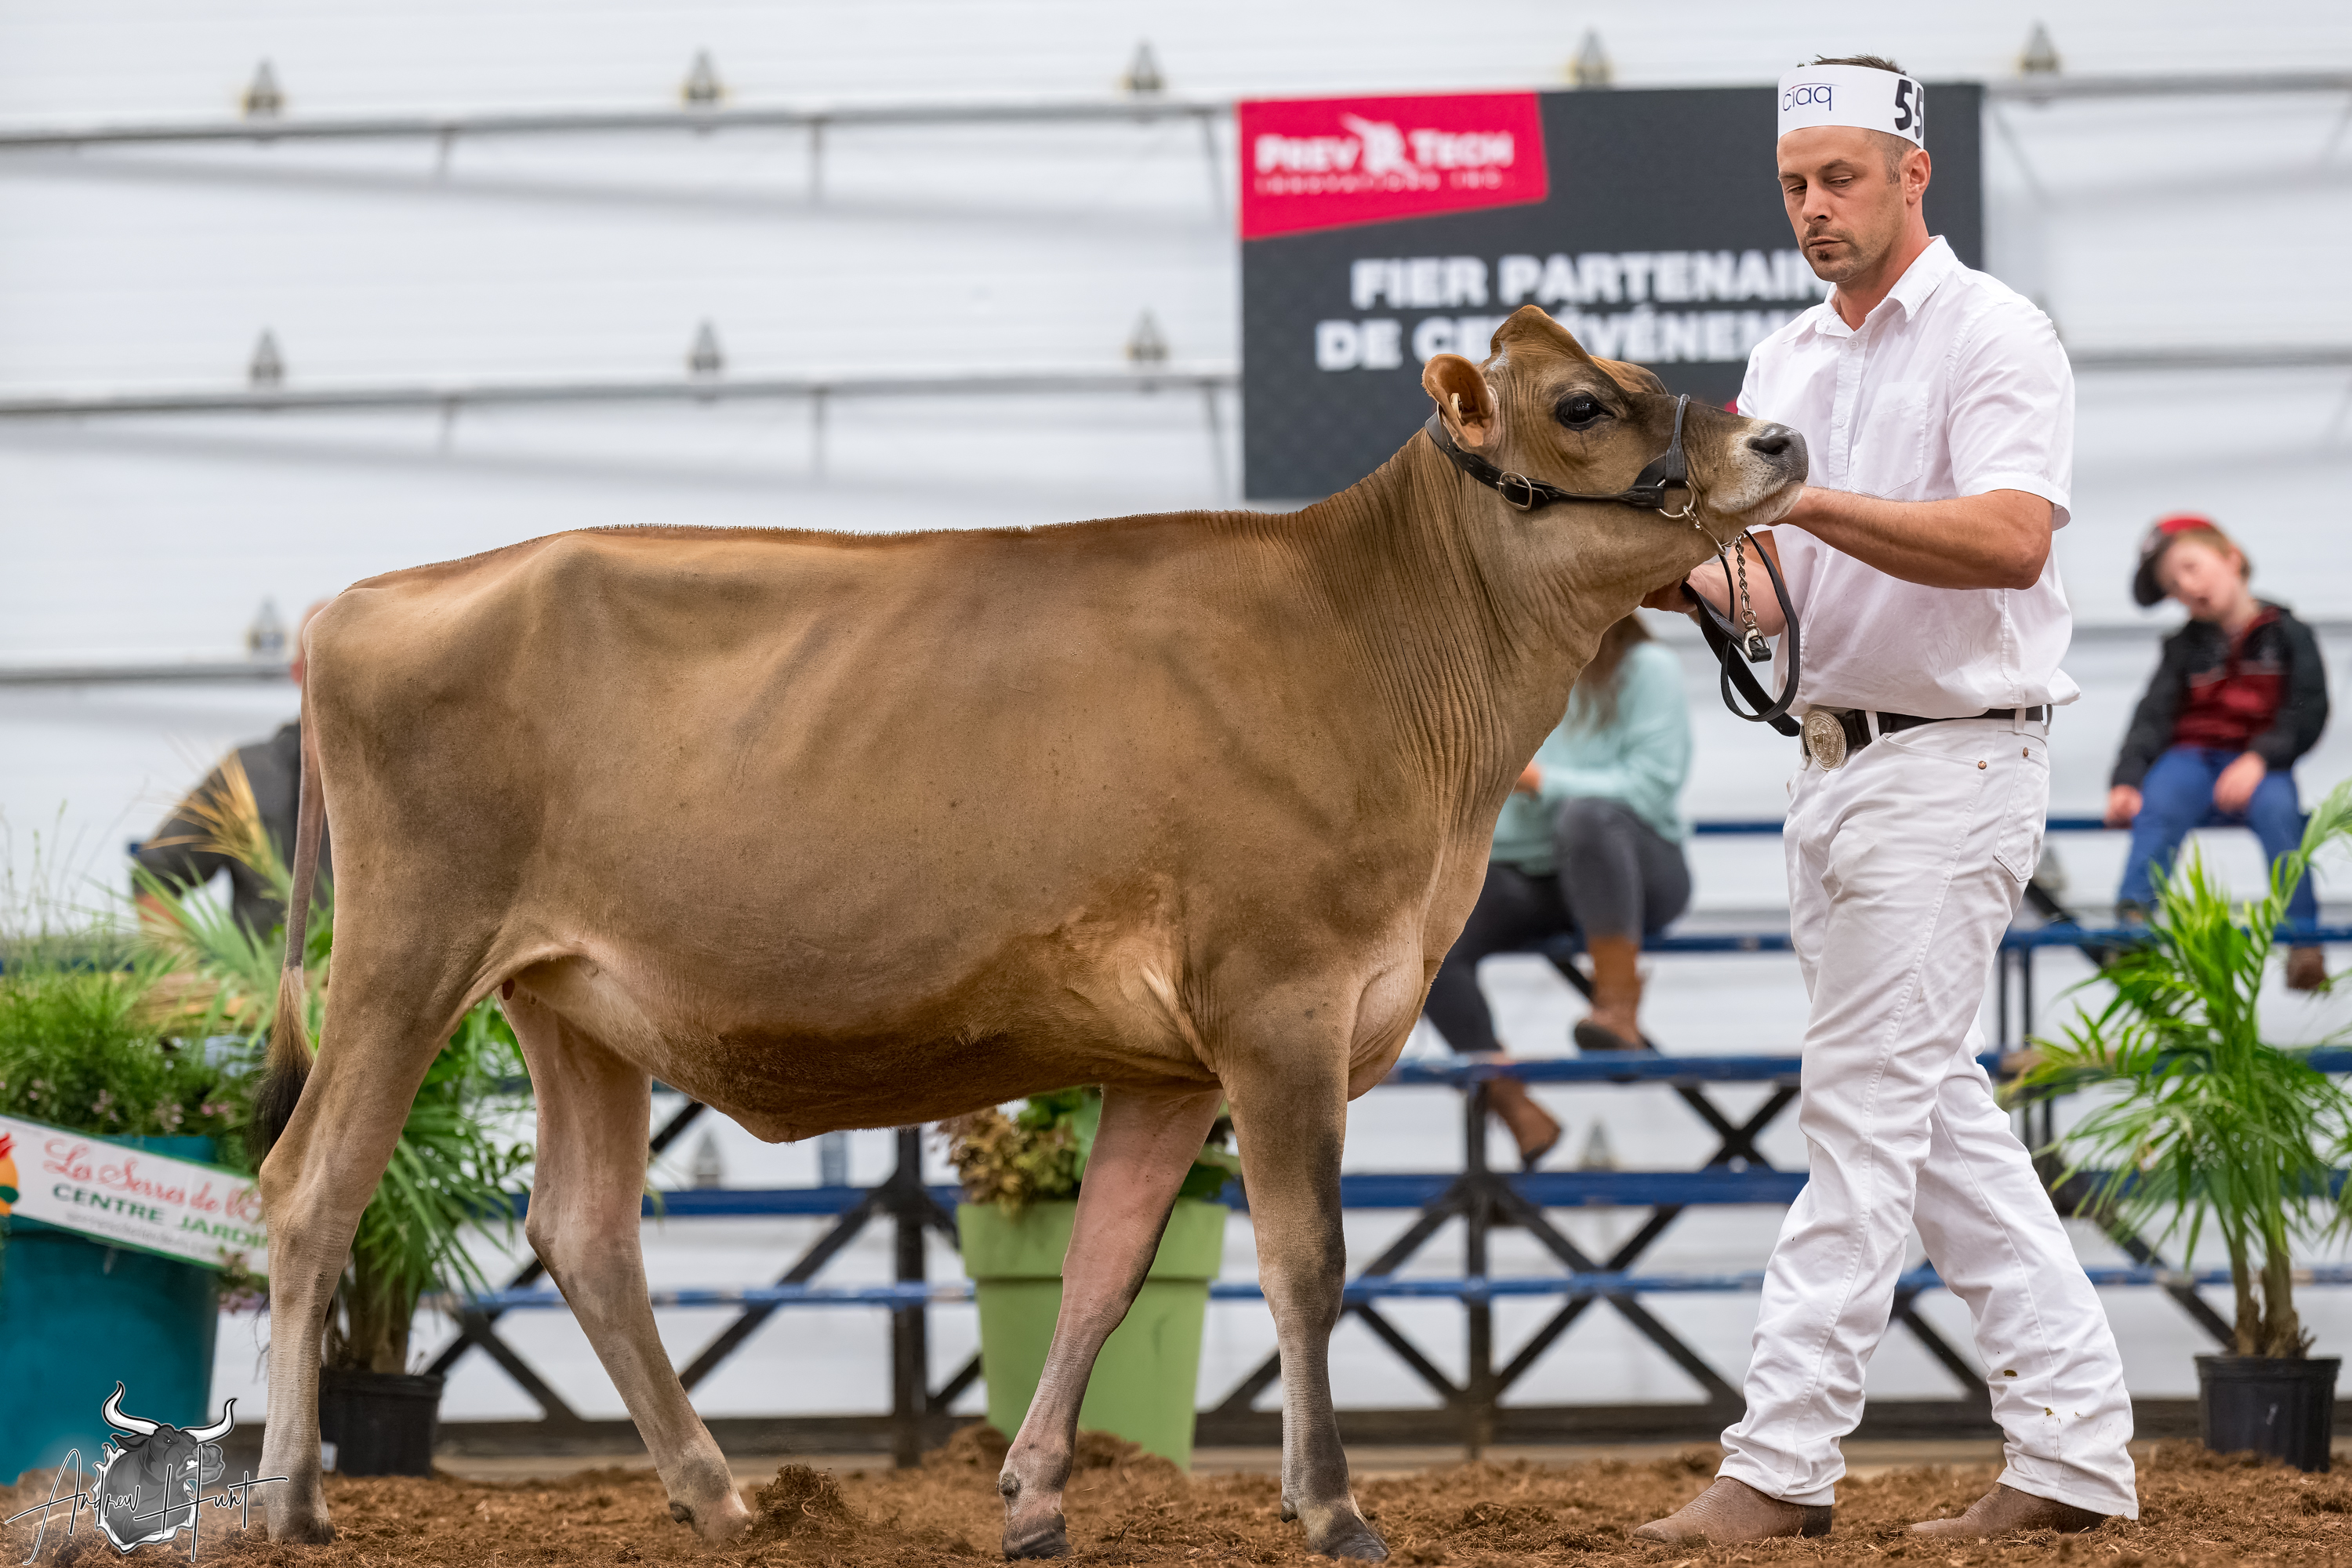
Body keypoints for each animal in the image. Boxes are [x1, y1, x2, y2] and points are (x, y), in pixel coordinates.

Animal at [253, 305, 1805, 1560]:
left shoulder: (1170, 1063)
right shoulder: (1282, 1005)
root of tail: (374, 597)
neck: (1382, 650)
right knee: (310, 1188)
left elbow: (1105, 1270)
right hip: (405, 952)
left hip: (570, 997)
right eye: (1585, 404)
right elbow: (1306, 1265)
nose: (1780, 437)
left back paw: (717, 1497)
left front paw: (1037, 1500)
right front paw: (1332, 1509)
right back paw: (290, 1500)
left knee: (583, 1231)